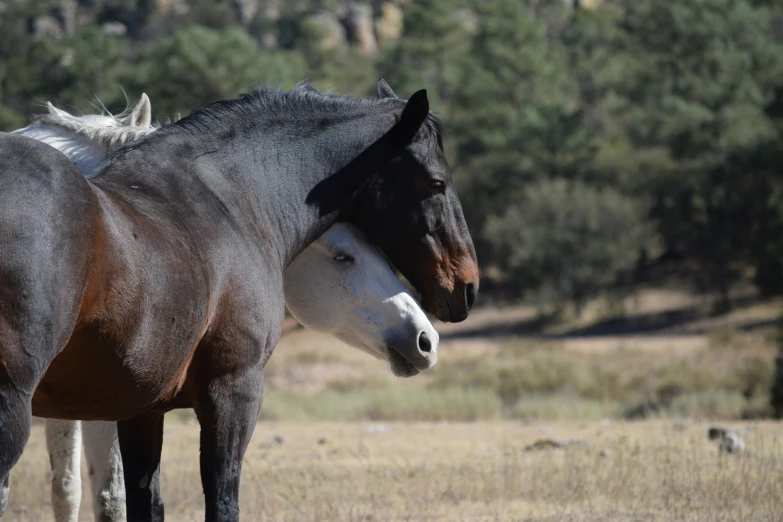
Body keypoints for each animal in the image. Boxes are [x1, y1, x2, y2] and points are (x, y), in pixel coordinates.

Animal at [0, 78, 480, 520]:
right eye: (436, 183)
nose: (466, 287)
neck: (230, 202)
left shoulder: (139, 411)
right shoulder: (234, 391)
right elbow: (219, 500)